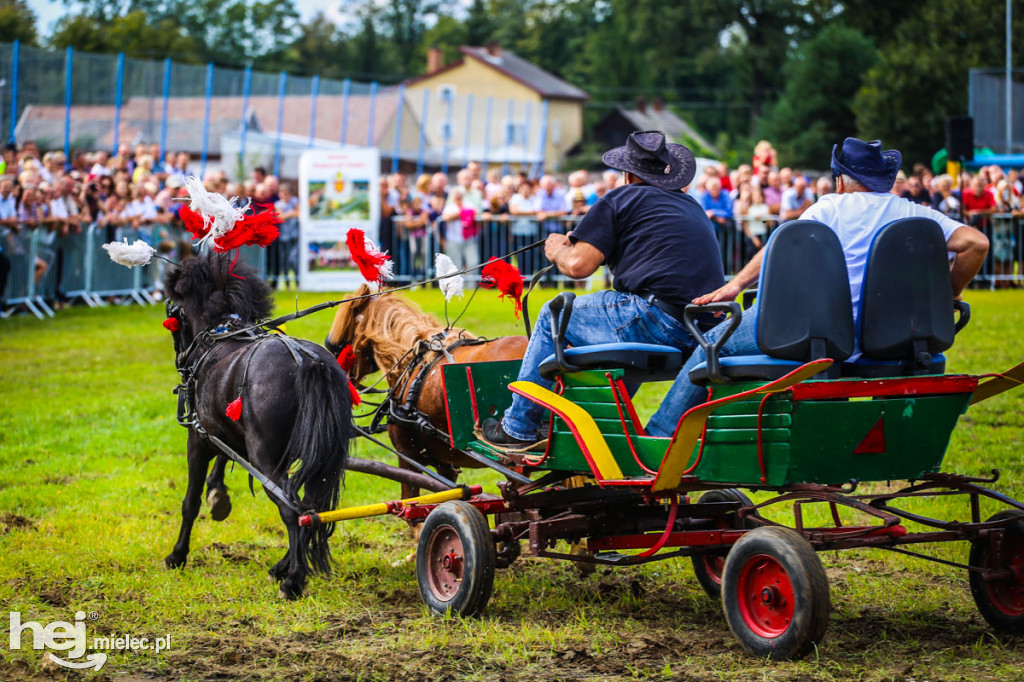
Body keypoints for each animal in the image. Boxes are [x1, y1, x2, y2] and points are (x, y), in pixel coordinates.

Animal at [159, 250, 352, 593]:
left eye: (172, 311)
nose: (182, 362)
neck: (217, 337)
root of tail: (310, 362)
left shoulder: (198, 437)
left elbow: (190, 501)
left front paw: (178, 555)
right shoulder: (228, 432)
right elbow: (225, 460)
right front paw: (218, 495)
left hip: (266, 458)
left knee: (292, 508)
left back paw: (293, 579)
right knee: (309, 508)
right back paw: (285, 567)